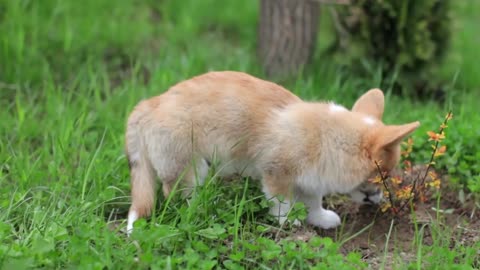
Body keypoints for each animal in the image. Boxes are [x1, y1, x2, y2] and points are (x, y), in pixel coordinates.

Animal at [124, 70, 420, 233]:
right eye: (381, 176)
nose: (379, 200)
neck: (328, 139)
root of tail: (148, 104)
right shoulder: (277, 174)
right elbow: (282, 203)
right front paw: (288, 223)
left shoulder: (311, 180)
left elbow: (313, 201)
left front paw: (320, 219)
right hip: (191, 169)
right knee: (177, 194)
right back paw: (202, 210)